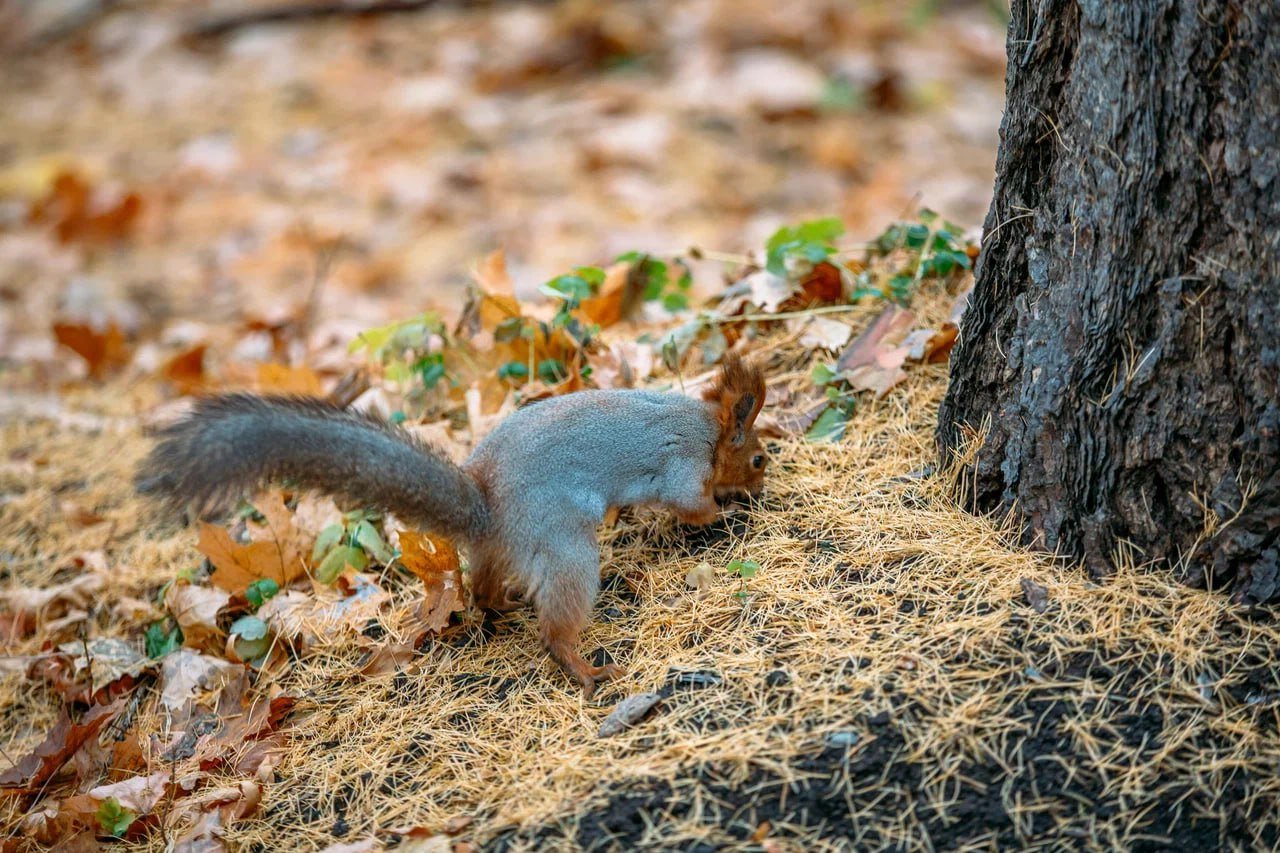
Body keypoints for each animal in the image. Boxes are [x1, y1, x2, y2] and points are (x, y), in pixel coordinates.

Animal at [145, 356, 773, 696]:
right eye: (759, 459)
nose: (764, 484)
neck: (708, 429)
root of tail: (484, 506)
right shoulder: (682, 466)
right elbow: (692, 504)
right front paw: (726, 511)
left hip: (504, 549)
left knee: (483, 588)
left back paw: (506, 604)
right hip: (563, 544)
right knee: (554, 625)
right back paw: (582, 668)